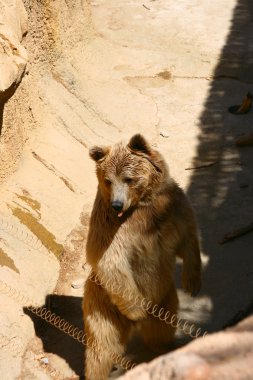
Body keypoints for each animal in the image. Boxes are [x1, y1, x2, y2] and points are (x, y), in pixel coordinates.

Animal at [83, 134, 202, 380]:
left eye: (128, 179)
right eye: (108, 180)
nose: (116, 203)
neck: (141, 204)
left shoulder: (170, 206)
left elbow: (188, 235)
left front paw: (192, 282)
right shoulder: (110, 227)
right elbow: (109, 260)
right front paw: (138, 312)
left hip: (165, 296)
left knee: (161, 327)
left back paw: (166, 346)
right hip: (104, 302)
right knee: (102, 345)